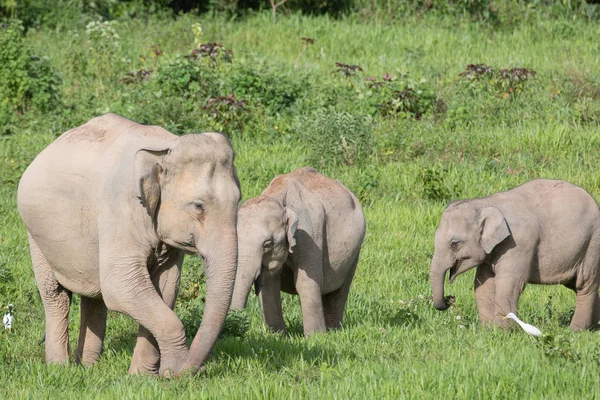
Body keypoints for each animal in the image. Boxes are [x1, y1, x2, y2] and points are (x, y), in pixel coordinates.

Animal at [17, 114, 240, 376]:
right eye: (198, 206)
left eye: (239, 201)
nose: (197, 370)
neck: (164, 149)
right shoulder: (120, 210)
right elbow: (120, 286)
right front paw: (174, 373)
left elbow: (165, 288)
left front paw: (144, 377)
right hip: (36, 234)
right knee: (55, 295)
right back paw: (59, 368)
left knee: (94, 297)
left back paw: (87, 368)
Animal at [231, 167, 366, 336]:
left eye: (267, 244)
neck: (276, 195)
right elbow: (269, 284)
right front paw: (278, 337)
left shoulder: (309, 233)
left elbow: (305, 282)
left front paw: (316, 337)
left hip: (355, 251)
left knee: (340, 290)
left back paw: (333, 331)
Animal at [428, 180, 600, 330]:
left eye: (454, 244)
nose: (450, 298)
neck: (485, 203)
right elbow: (482, 285)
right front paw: (487, 331)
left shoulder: (518, 244)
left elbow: (508, 283)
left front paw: (503, 331)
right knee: (576, 285)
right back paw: (593, 327)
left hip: (592, 244)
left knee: (584, 285)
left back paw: (576, 330)